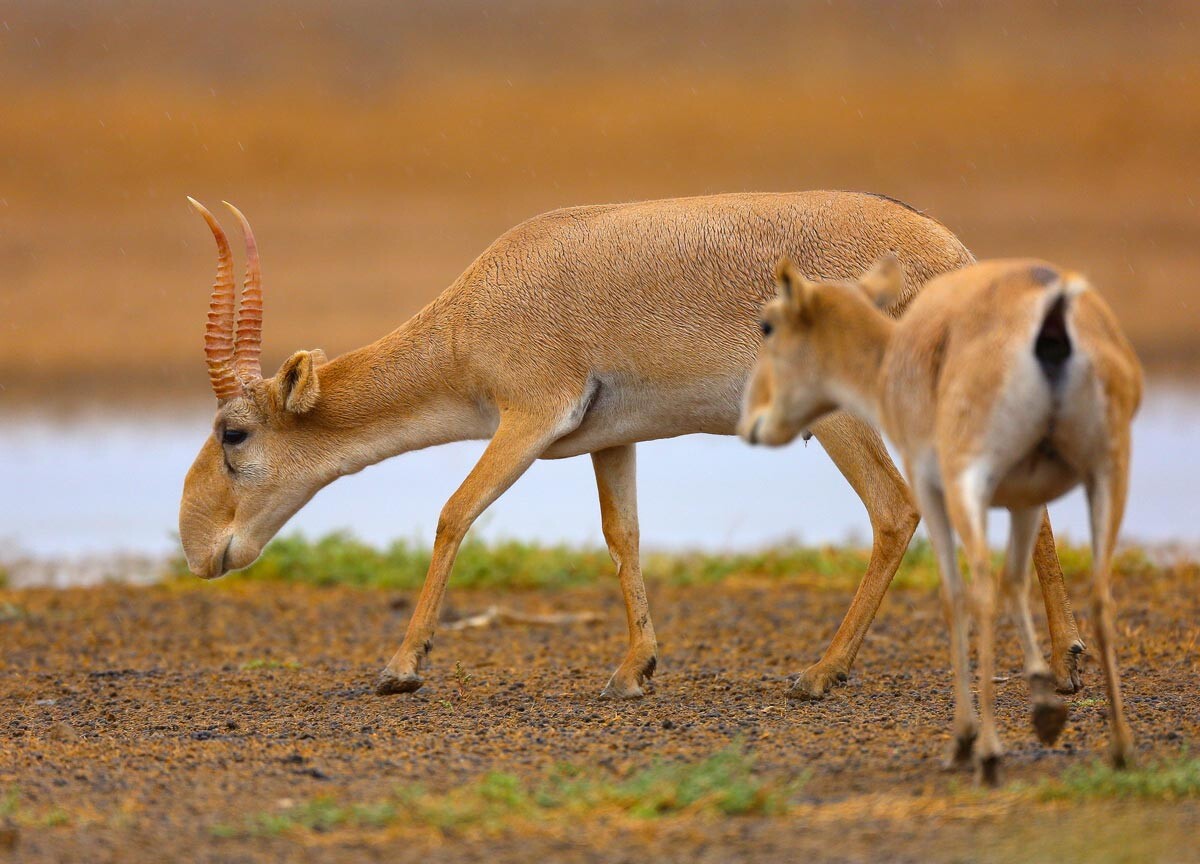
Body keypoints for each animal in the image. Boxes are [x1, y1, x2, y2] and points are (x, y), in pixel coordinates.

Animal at [177, 190, 1089, 700]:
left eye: (234, 432)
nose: (197, 548)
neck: (475, 310)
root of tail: (954, 257)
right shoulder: (608, 441)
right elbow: (625, 535)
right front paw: (635, 670)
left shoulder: (525, 419)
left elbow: (453, 513)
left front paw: (401, 666)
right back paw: (1066, 662)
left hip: (848, 417)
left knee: (897, 512)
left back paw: (820, 675)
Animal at [739, 254, 1142, 782]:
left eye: (767, 324)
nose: (751, 421)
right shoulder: (1024, 496)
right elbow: (1016, 582)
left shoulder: (937, 489)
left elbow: (956, 593)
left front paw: (971, 738)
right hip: (1105, 473)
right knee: (1100, 594)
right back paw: (1119, 747)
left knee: (982, 588)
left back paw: (982, 749)